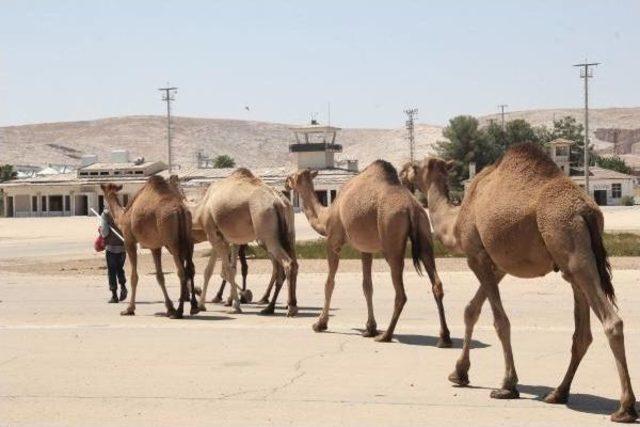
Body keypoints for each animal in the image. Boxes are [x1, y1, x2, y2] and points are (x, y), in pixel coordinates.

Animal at [100, 176, 199, 320]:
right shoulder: (155, 246)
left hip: (172, 242)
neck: (123, 216)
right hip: (188, 239)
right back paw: (194, 307)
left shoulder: (129, 241)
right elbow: (160, 276)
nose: (103, 207)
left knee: (181, 271)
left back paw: (179, 311)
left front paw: (129, 309)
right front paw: (169, 307)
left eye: (103, 194)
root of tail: (180, 210)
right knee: (190, 268)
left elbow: (134, 276)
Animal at [191, 169, 298, 316]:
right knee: (293, 264)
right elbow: (210, 270)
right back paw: (275, 307)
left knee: (287, 264)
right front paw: (202, 305)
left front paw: (236, 305)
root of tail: (278, 202)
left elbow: (228, 270)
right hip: (289, 235)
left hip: (266, 234)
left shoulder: (214, 235)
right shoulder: (221, 238)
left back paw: (288, 308)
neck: (201, 208)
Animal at [282, 160, 452, 344]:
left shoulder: (333, 241)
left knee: (401, 293)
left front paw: (320, 324)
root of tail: (412, 208)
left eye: (292, 177)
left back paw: (386, 335)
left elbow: (329, 283)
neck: (325, 216)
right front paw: (370, 328)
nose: (285, 183)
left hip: (391, 240)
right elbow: (367, 286)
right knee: (436, 283)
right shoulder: (366, 250)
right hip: (425, 233)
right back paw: (444, 338)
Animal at [402, 142, 636, 422]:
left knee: (612, 322)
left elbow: (500, 321)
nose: (402, 172)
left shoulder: (476, 256)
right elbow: (471, 310)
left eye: (415, 166)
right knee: (582, 333)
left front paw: (507, 385)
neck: (456, 220)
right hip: (574, 262)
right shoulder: (499, 265)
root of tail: (586, 211)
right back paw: (558, 393)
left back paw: (625, 408)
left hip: (570, 246)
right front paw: (459, 373)